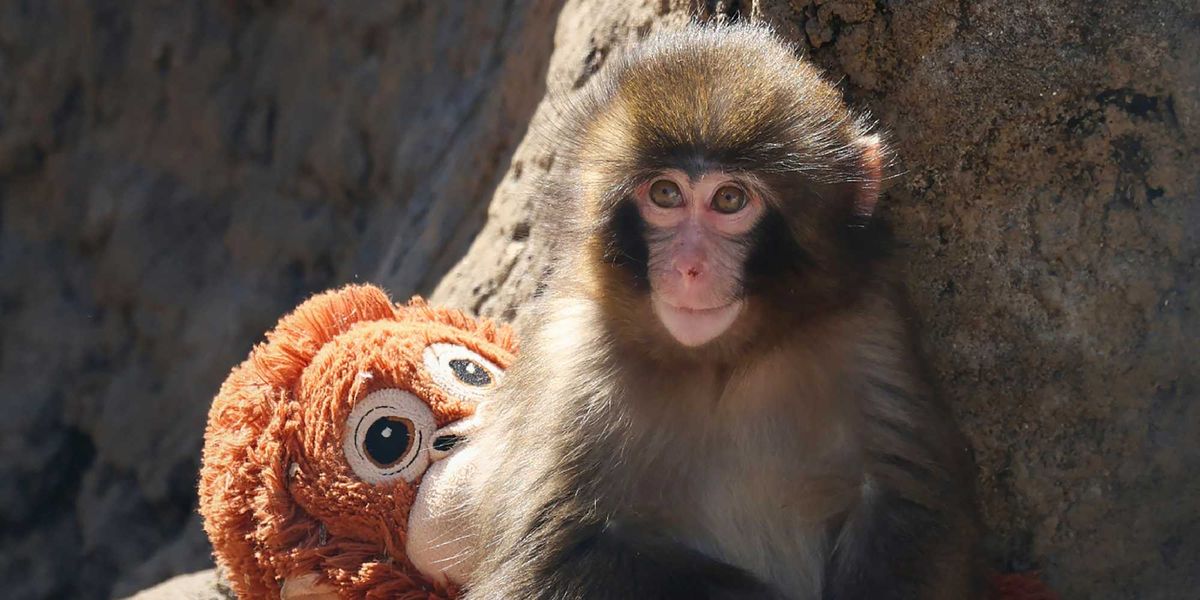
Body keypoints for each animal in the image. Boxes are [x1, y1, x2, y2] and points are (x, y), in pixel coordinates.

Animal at [458, 23, 981, 600]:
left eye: (729, 200)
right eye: (665, 193)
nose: (689, 266)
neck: (719, 362)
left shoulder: (868, 327)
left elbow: (906, 505)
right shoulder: (574, 361)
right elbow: (553, 557)